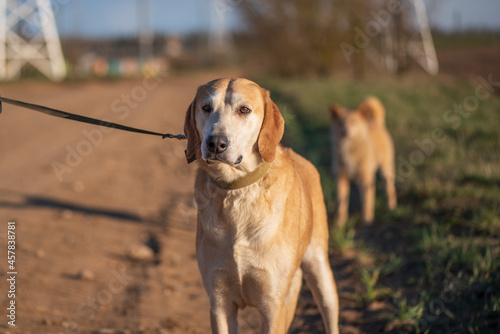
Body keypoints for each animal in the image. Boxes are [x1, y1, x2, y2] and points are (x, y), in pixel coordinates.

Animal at [184, 79, 340, 334]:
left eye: (244, 110)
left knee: (329, 313)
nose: (215, 143)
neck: (237, 191)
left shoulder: (273, 306)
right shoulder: (219, 304)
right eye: (206, 108)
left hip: (320, 271)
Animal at [330, 97, 396, 227]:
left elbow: (367, 202)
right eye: (340, 123)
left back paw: (391, 205)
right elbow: (341, 204)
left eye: (353, 122)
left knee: (390, 188)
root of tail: (376, 123)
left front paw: (368, 221)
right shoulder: (341, 179)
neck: (349, 150)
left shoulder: (366, 179)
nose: (344, 132)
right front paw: (341, 223)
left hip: (386, 170)